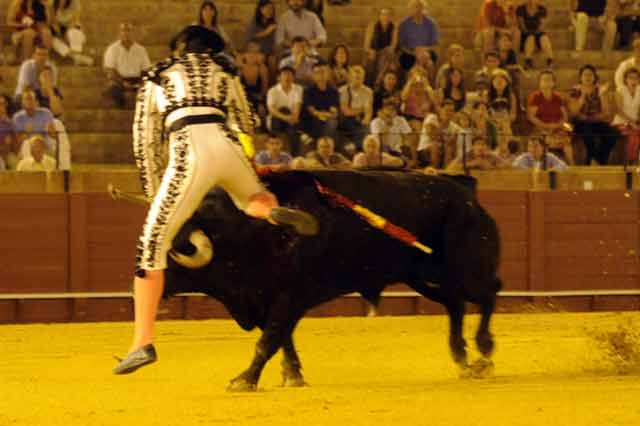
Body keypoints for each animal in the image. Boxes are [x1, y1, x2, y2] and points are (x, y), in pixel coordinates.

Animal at [164, 170, 500, 390]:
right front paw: (293, 376)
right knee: (456, 305)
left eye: (167, 252)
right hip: (421, 276)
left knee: (487, 293)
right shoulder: (262, 299)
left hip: (463, 269)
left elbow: (268, 340)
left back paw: (483, 353)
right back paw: (462, 359)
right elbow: (282, 338)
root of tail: (468, 197)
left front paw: (244, 380)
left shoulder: (289, 295)